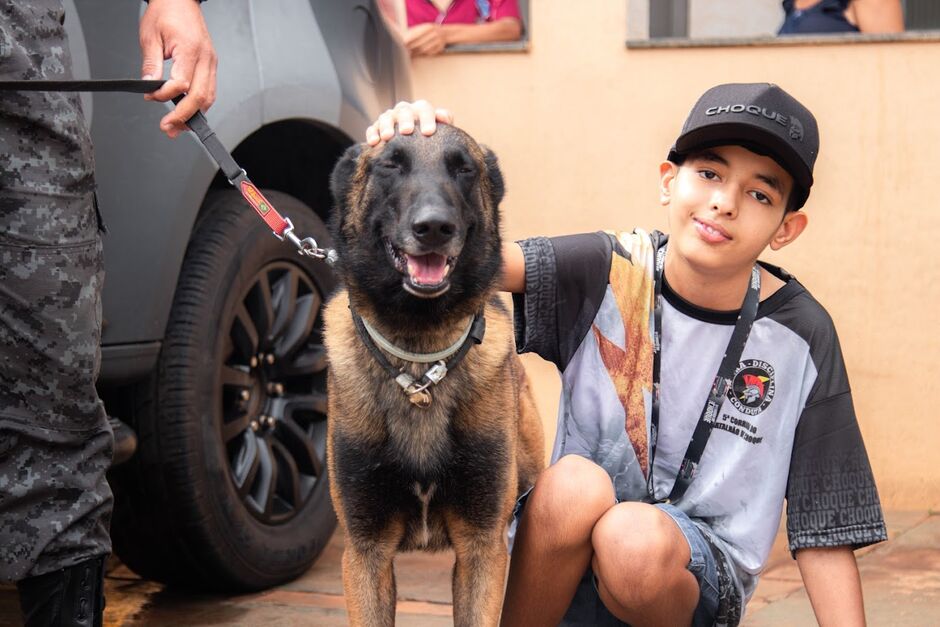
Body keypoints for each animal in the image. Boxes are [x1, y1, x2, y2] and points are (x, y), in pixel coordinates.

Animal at [324, 124, 544, 627]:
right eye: (390, 164)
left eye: (463, 168)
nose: (434, 228)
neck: (419, 360)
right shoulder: (365, 553)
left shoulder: (483, 548)